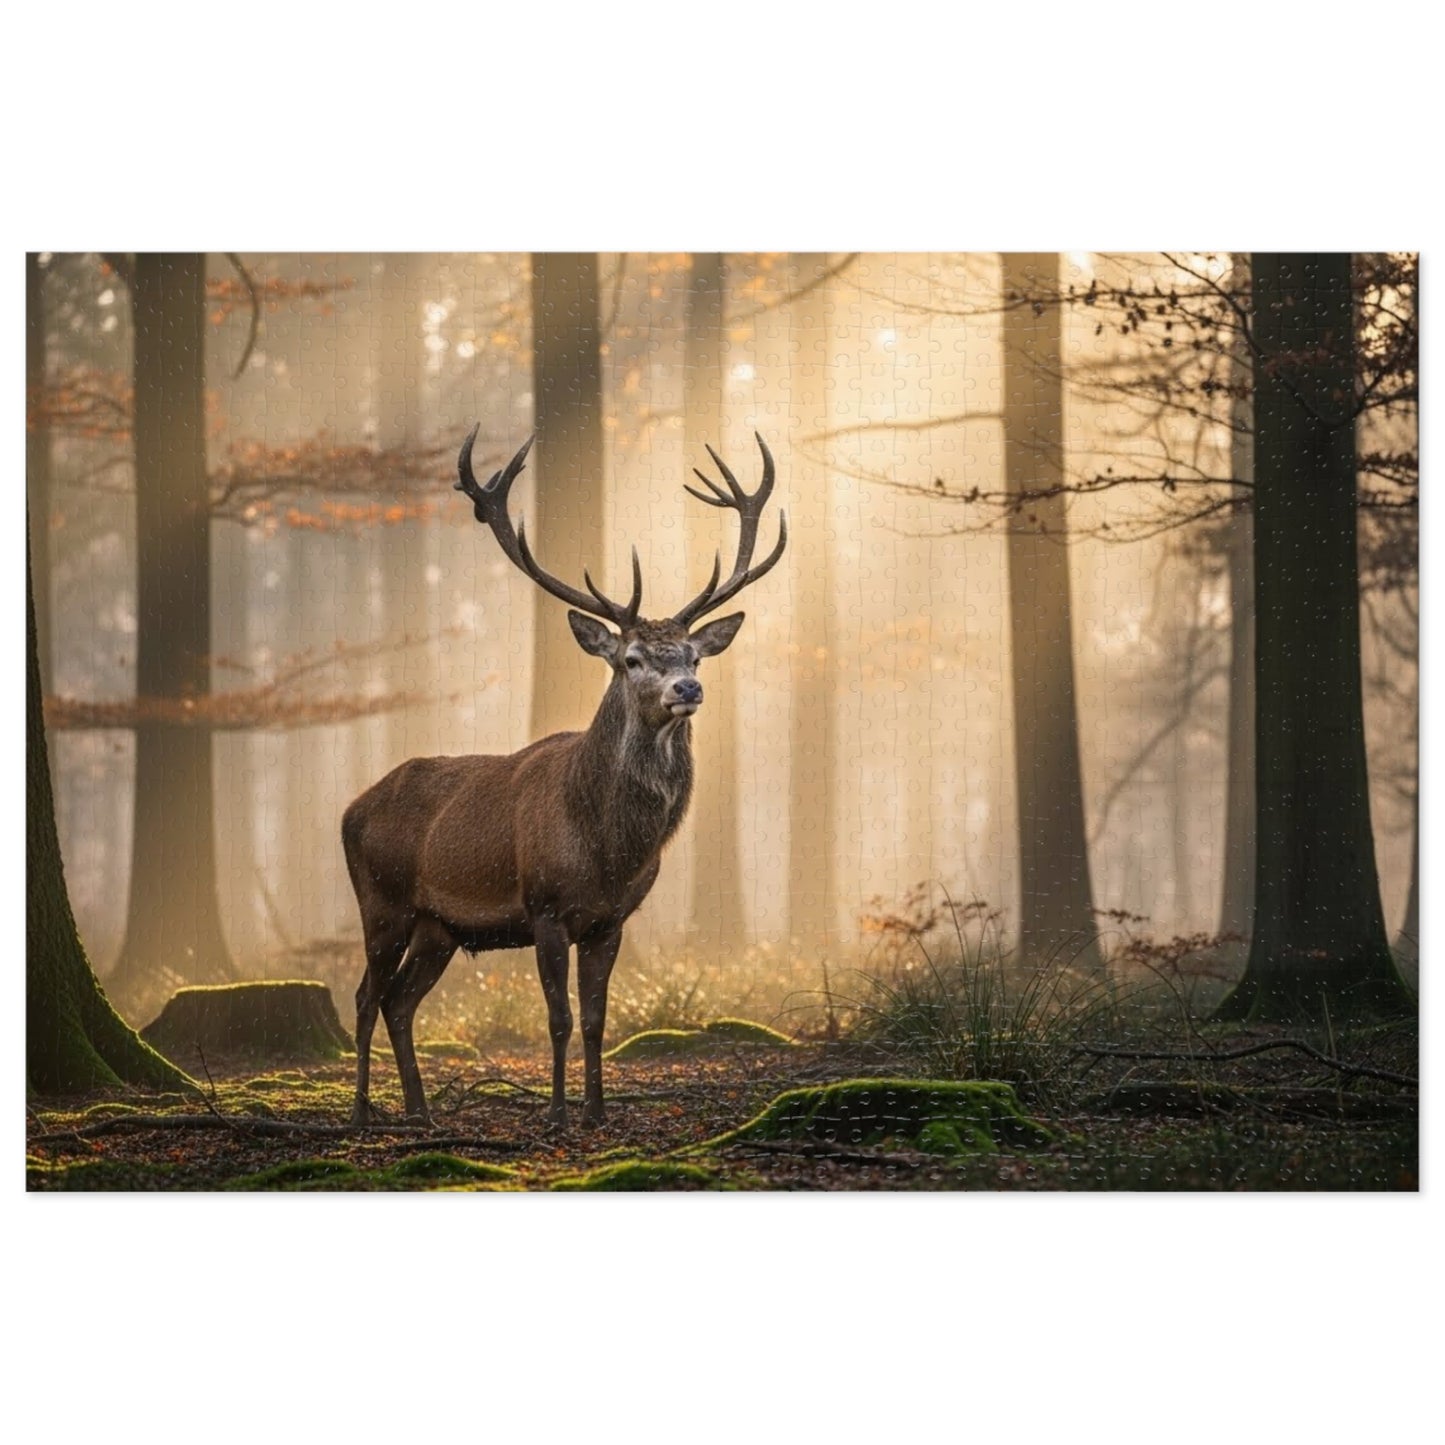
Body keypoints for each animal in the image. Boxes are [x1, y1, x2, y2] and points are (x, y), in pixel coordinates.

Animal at [341, 425, 786, 1128]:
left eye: (692, 655)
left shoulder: (611, 920)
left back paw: (420, 1110)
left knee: (400, 1001)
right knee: (364, 997)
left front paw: (598, 1111)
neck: (609, 850)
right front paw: (555, 1112)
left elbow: (599, 1020)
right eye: (632, 658)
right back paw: (362, 1113)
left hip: (439, 927)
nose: (688, 689)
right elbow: (558, 1018)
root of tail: (350, 809)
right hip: (382, 901)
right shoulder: (545, 906)